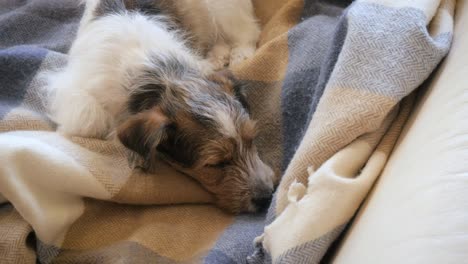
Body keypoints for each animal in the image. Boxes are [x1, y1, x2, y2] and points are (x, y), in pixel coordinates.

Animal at [46, 0, 274, 212]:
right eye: (215, 164)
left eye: (252, 140)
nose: (267, 198)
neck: (156, 75)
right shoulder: (75, 94)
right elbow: (90, 121)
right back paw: (218, 56)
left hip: (223, 9)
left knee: (247, 31)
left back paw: (240, 55)